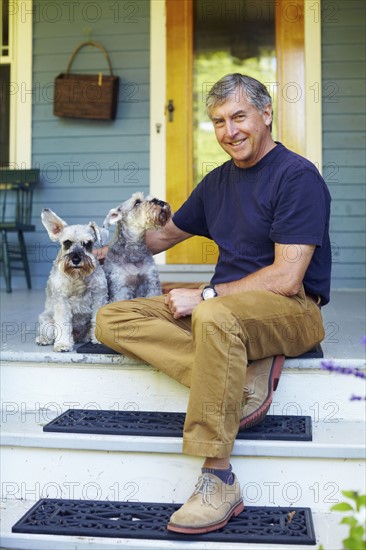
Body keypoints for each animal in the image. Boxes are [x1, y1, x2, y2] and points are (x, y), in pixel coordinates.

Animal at [36, 209, 109, 356]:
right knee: (50, 333)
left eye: (87, 243)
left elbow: (96, 318)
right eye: (67, 242)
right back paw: (43, 339)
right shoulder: (62, 302)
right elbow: (63, 324)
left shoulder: (99, 296)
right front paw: (63, 344)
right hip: (46, 321)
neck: (78, 276)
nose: (76, 260)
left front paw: (99, 339)